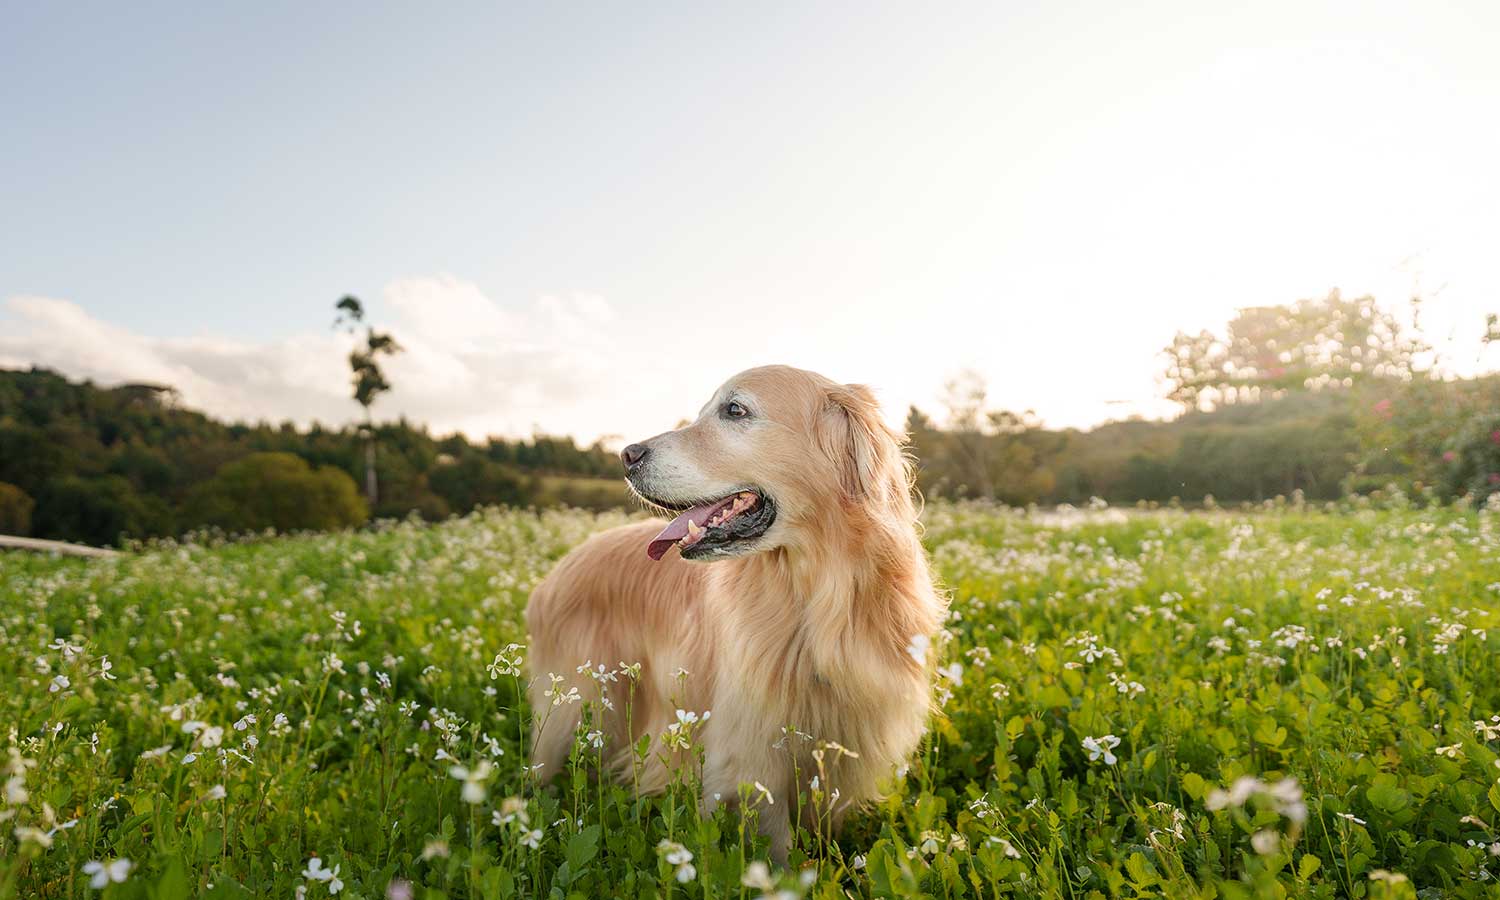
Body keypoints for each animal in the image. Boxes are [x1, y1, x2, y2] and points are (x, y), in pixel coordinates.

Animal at [525, 364, 936, 858]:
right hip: (575, 708)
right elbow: (778, 850)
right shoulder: (751, 758)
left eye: (734, 410)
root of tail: (558, 568)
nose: (626, 454)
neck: (814, 598)